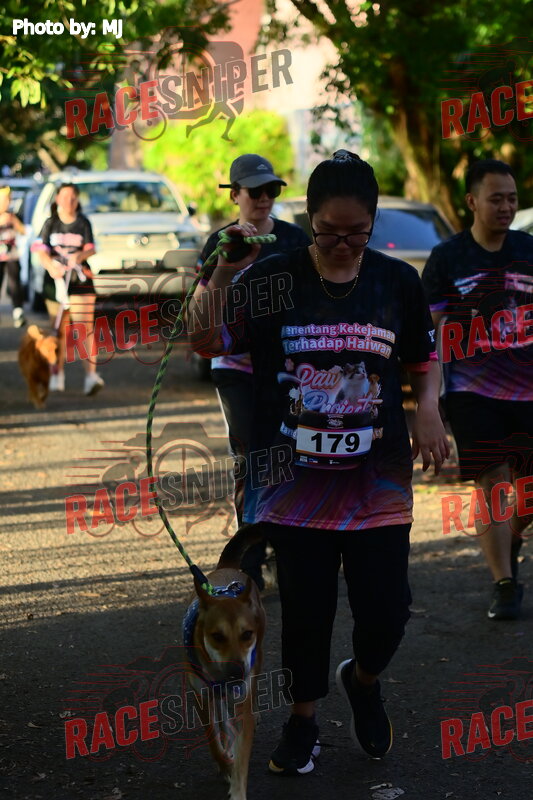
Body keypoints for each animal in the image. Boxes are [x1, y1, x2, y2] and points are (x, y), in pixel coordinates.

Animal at [184, 527, 266, 800]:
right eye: (217, 636)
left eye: (247, 634)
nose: (237, 673)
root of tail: (226, 567)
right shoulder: (200, 694)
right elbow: (212, 739)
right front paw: (225, 764)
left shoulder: (243, 697)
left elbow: (242, 755)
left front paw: (238, 788)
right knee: (220, 709)